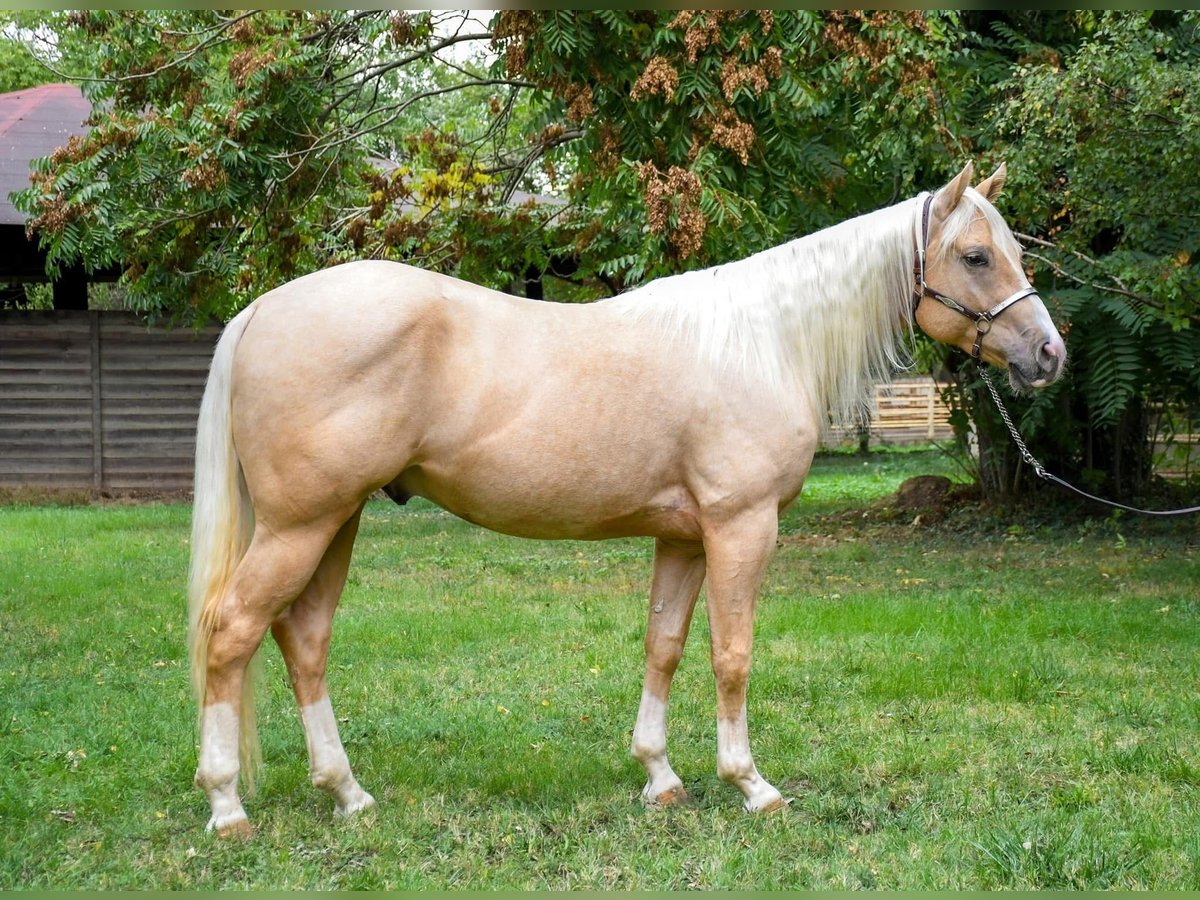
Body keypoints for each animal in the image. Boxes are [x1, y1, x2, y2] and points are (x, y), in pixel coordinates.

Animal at [189, 162, 1070, 840]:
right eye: (976, 255)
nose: (1048, 354)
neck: (765, 341)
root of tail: (261, 309)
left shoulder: (683, 537)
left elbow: (664, 647)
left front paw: (660, 777)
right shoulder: (741, 528)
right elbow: (731, 654)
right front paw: (751, 785)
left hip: (335, 523)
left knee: (303, 640)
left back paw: (347, 794)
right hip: (302, 526)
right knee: (233, 632)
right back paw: (228, 806)